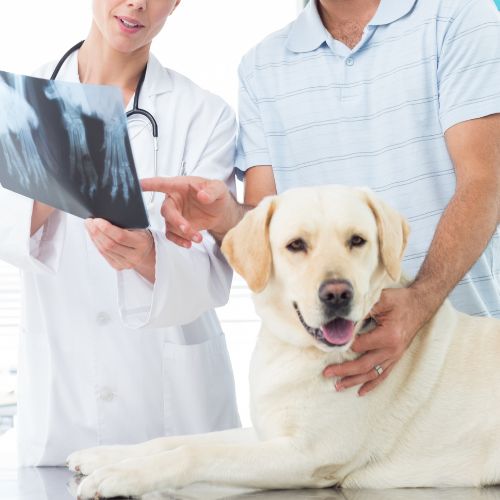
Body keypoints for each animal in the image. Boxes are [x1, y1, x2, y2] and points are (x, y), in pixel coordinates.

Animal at [68, 186, 498, 498]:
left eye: (357, 241)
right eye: (296, 245)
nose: (338, 294)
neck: (294, 351)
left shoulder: (305, 456)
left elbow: (192, 452)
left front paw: (120, 476)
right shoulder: (266, 434)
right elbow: (177, 439)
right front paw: (106, 456)